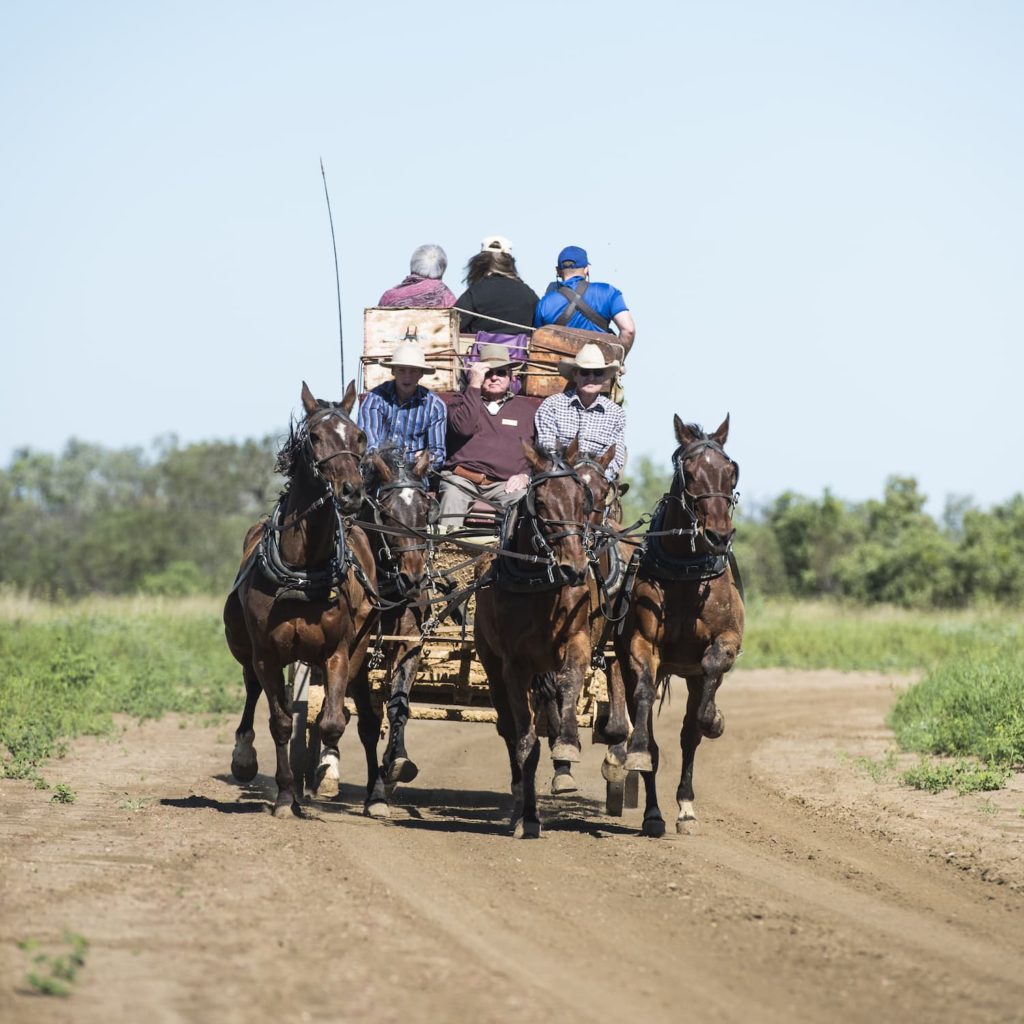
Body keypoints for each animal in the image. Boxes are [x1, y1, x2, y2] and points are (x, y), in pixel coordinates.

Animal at [606, 411, 745, 835]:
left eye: (730, 471)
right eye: (689, 471)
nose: (718, 534)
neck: (686, 571)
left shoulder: (725, 641)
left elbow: (702, 703)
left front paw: (715, 720)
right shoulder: (640, 646)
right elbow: (644, 705)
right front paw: (636, 757)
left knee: (688, 734)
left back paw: (685, 806)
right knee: (647, 728)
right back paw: (653, 812)